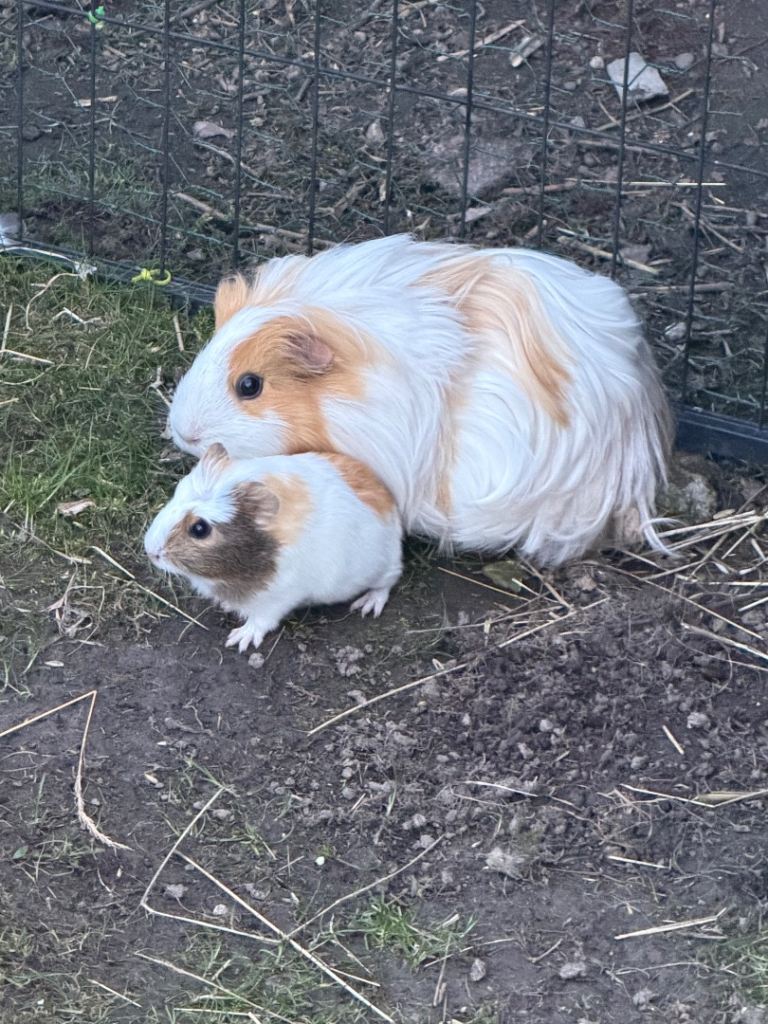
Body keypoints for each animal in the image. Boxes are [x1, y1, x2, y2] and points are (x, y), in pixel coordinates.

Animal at [144, 443, 403, 653]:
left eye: (199, 528)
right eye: (177, 491)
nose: (150, 551)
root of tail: (391, 509)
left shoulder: (276, 599)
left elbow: (260, 621)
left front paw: (238, 640)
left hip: (382, 571)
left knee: (387, 584)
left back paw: (367, 606)